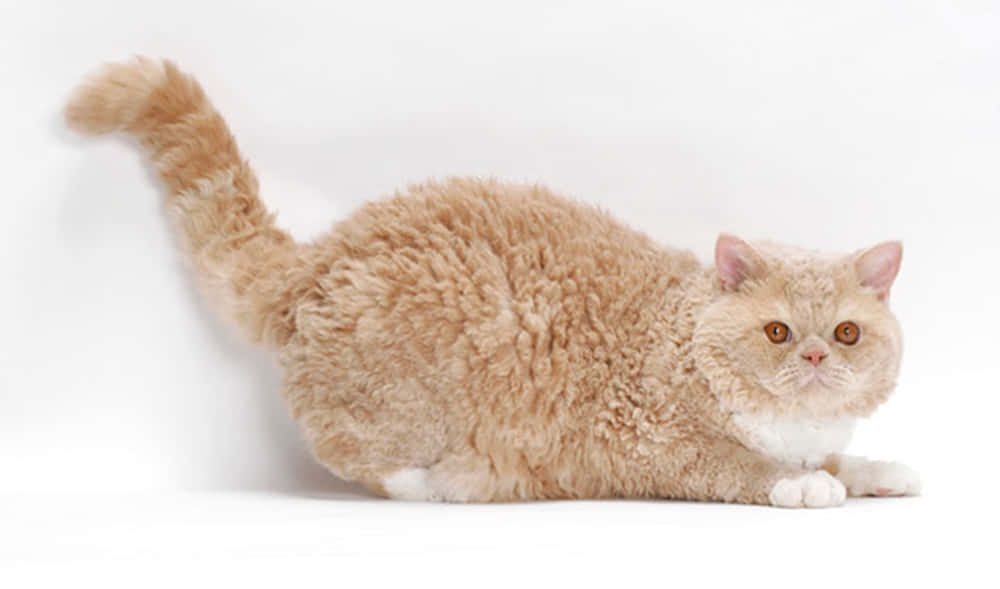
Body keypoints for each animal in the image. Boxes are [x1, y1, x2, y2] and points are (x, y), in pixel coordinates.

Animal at [64, 60, 920, 510]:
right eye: (778, 331)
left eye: (846, 333)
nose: (814, 359)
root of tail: (323, 254)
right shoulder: (654, 443)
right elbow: (746, 469)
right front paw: (803, 485)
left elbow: (844, 459)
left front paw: (877, 469)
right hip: (407, 388)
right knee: (352, 448)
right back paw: (435, 480)